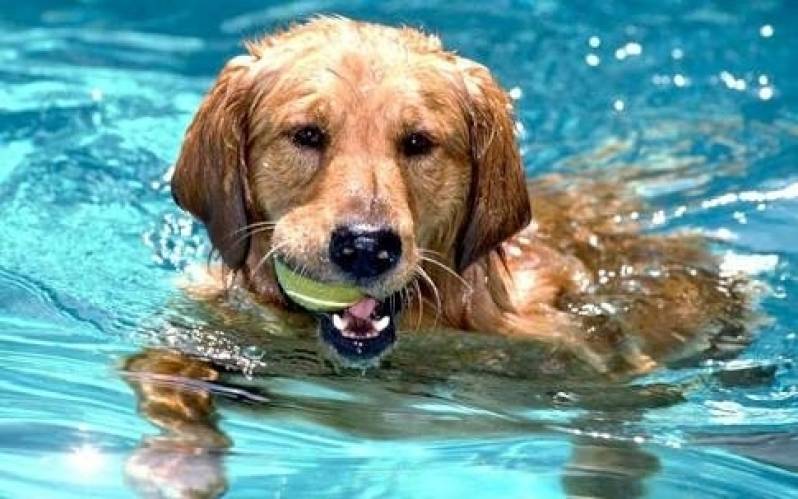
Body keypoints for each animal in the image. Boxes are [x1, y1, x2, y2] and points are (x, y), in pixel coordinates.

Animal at [123, 16, 756, 499]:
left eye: (418, 143)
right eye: (306, 135)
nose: (366, 246)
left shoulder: (599, 370)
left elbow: (618, 432)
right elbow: (162, 368)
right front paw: (178, 460)